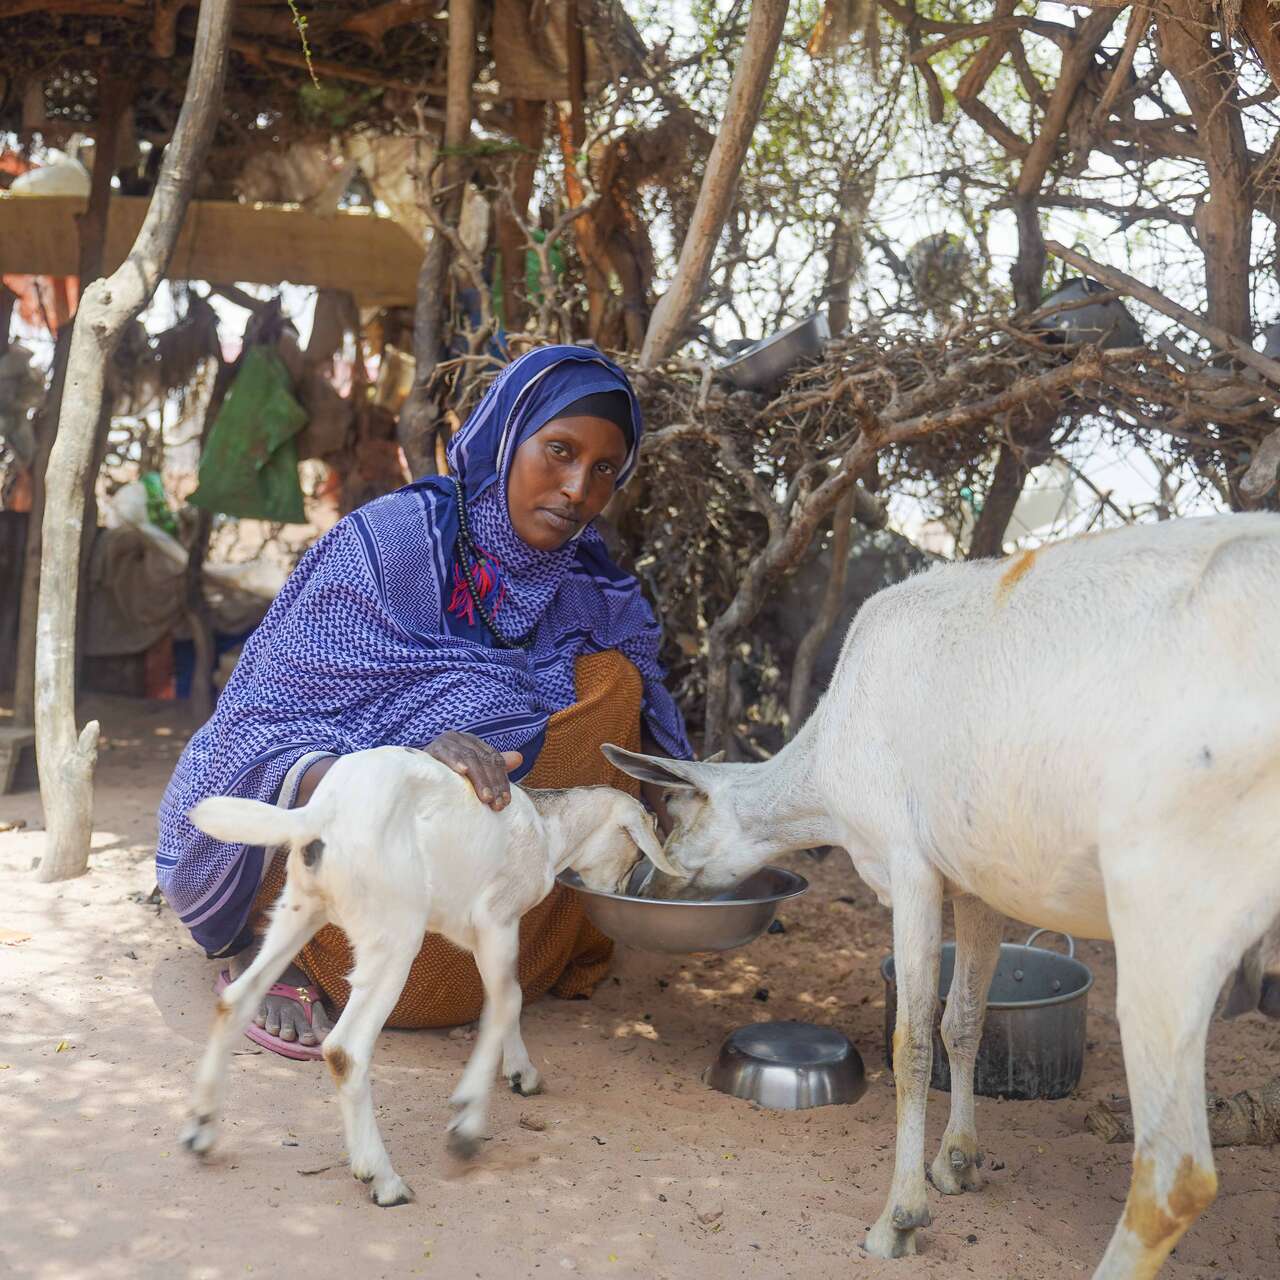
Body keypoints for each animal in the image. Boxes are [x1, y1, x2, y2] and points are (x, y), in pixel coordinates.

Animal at [178, 746, 678, 1206]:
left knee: (236, 1000)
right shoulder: (497, 920)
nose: (623, 891)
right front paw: (468, 1122)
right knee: (344, 1049)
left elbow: (502, 997)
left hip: (300, 909)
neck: (546, 826)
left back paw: (201, 1130)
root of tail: (322, 812)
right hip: (394, 936)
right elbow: (509, 1000)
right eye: (636, 850)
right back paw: (383, 1178)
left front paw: (521, 1073)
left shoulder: (479, 936)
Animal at [605, 513, 1280, 1279]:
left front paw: (898, 1220)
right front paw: (957, 1164)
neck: (828, 765)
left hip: (1174, 903)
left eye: (670, 816)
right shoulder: (977, 879)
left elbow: (910, 1041)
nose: (644, 886)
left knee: (1178, 1172)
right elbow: (963, 1020)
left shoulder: (907, 862)